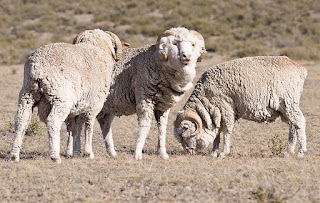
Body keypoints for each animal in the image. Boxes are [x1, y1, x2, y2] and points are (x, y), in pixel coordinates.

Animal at [9, 29, 122, 163]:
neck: (96, 48)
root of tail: (37, 66)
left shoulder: (78, 108)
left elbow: (75, 129)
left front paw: (75, 152)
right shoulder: (93, 105)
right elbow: (88, 127)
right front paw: (88, 153)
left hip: (27, 94)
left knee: (21, 121)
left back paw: (14, 155)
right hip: (60, 99)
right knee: (53, 122)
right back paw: (55, 156)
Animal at [68, 27, 206, 160]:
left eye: (193, 44)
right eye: (175, 43)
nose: (186, 56)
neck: (156, 62)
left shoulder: (163, 107)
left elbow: (162, 129)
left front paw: (163, 154)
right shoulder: (145, 100)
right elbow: (144, 126)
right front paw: (137, 154)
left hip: (108, 106)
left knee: (103, 124)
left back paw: (111, 152)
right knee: (79, 124)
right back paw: (77, 151)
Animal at [175, 56, 308, 158]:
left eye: (184, 135)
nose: (189, 152)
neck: (205, 97)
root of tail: (300, 69)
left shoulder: (226, 109)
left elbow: (227, 131)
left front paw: (223, 153)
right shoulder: (218, 114)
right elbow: (217, 134)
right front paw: (213, 153)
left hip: (288, 103)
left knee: (299, 123)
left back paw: (301, 152)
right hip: (286, 108)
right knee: (293, 127)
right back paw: (288, 152)